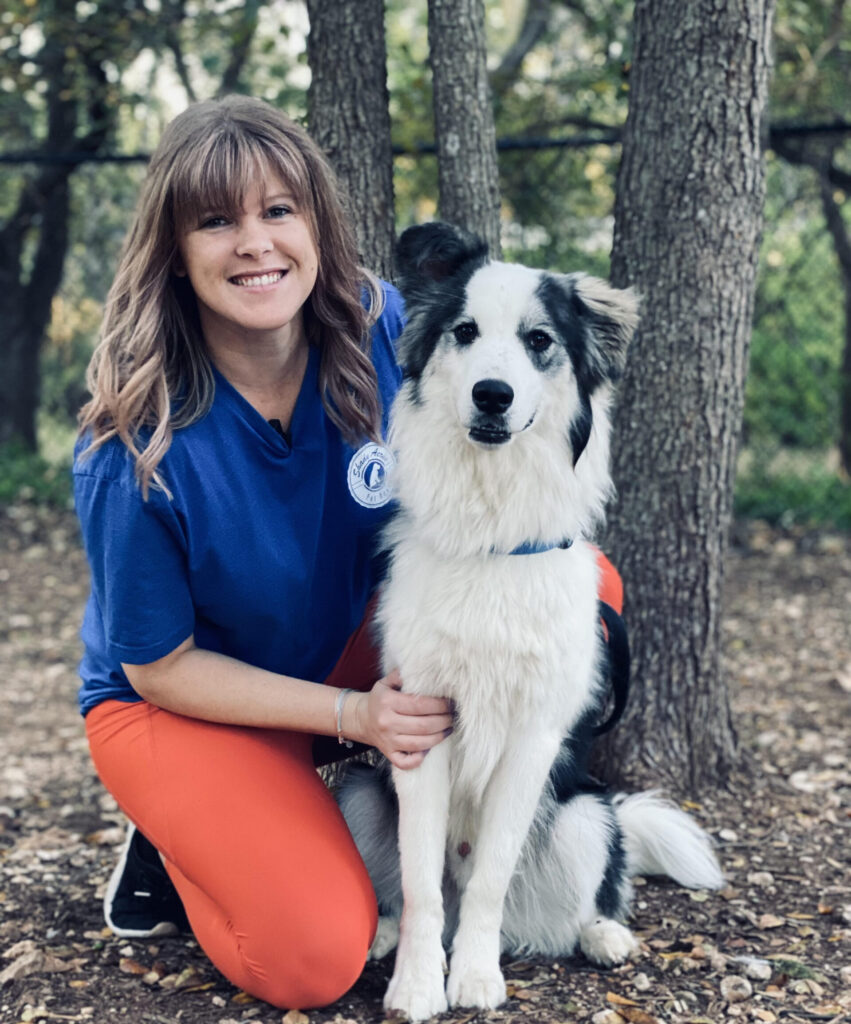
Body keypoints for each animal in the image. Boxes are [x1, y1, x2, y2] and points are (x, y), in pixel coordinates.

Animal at [335, 222, 720, 1015]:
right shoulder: (417, 724)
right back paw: (387, 937)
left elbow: (487, 879)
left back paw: (601, 935)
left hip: (583, 813)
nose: (493, 394)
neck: (492, 531)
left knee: (588, 887)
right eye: (465, 332)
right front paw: (417, 984)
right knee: (407, 894)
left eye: (539, 340)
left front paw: (475, 978)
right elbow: (422, 886)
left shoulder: (533, 736)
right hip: (358, 790)